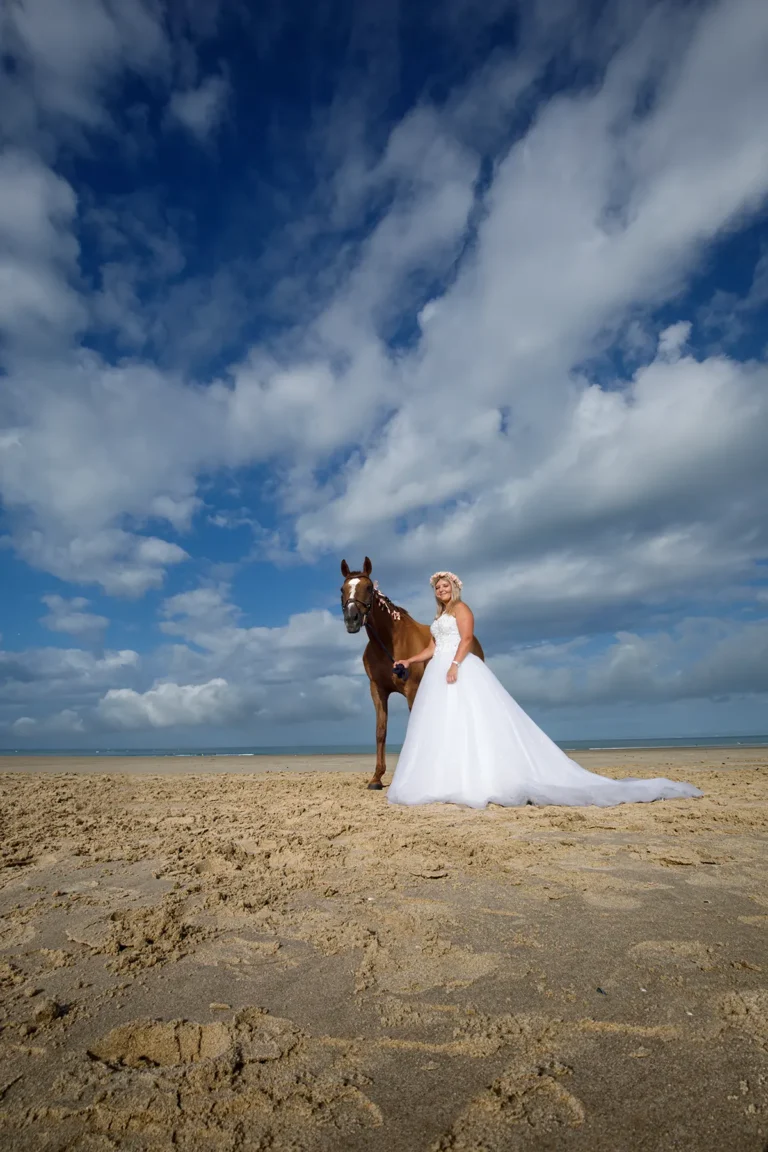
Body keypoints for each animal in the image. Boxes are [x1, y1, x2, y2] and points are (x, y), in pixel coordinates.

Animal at [340, 557, 485, 790]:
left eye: (369, 587)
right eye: (342, 589)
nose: (352, 619)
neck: (391, 641)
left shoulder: (412, 688)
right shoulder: (377, 690)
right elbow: (381, 731)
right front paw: (376, 778)